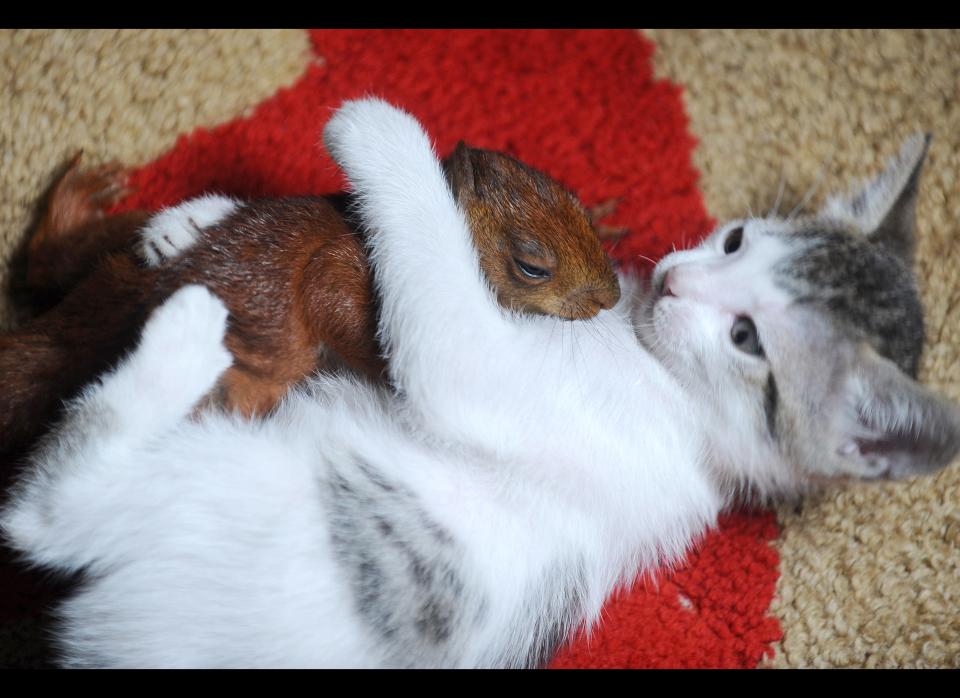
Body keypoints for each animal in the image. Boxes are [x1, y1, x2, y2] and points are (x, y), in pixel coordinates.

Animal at [1, 96, 960, 664]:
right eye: (732, 241)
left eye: (749, 339)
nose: (663, 285)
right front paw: (189, 217)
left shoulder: (516, 381)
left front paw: (377, 130)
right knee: (62, 281)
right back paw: (109, 218)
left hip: (188, 481)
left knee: (49, 499)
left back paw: (190, 340)